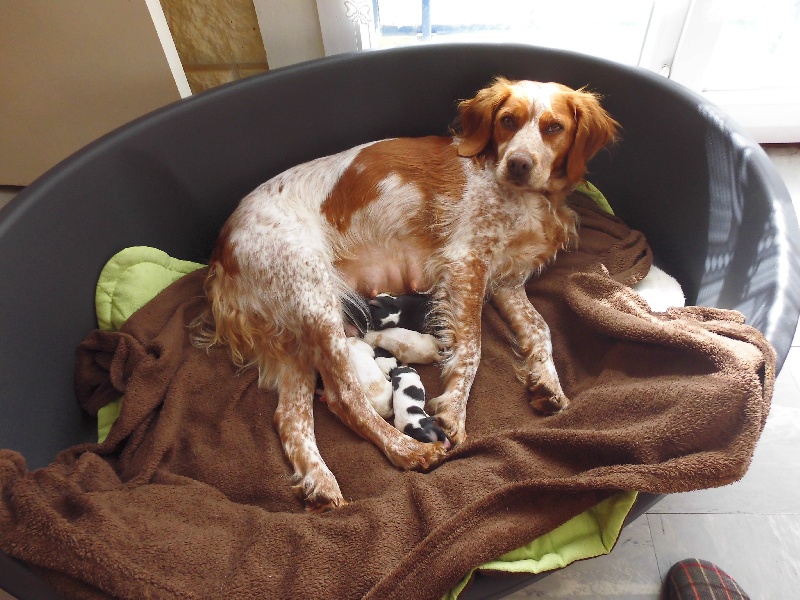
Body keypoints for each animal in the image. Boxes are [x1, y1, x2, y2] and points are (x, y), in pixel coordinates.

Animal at [192, 76, 620, 510]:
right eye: (507, 121)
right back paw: (408, 450)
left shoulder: (505, 280)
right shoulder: (466, 263)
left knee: (292, 419)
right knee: (344, 397)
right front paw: (454, 412)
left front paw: (548, 383)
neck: (530, 199)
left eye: (554, 128)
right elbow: (472, 348)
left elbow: (539, 328)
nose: (518, 163)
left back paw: (320, 482)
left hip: (296, 333)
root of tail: (220, 252)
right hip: (314, 297)